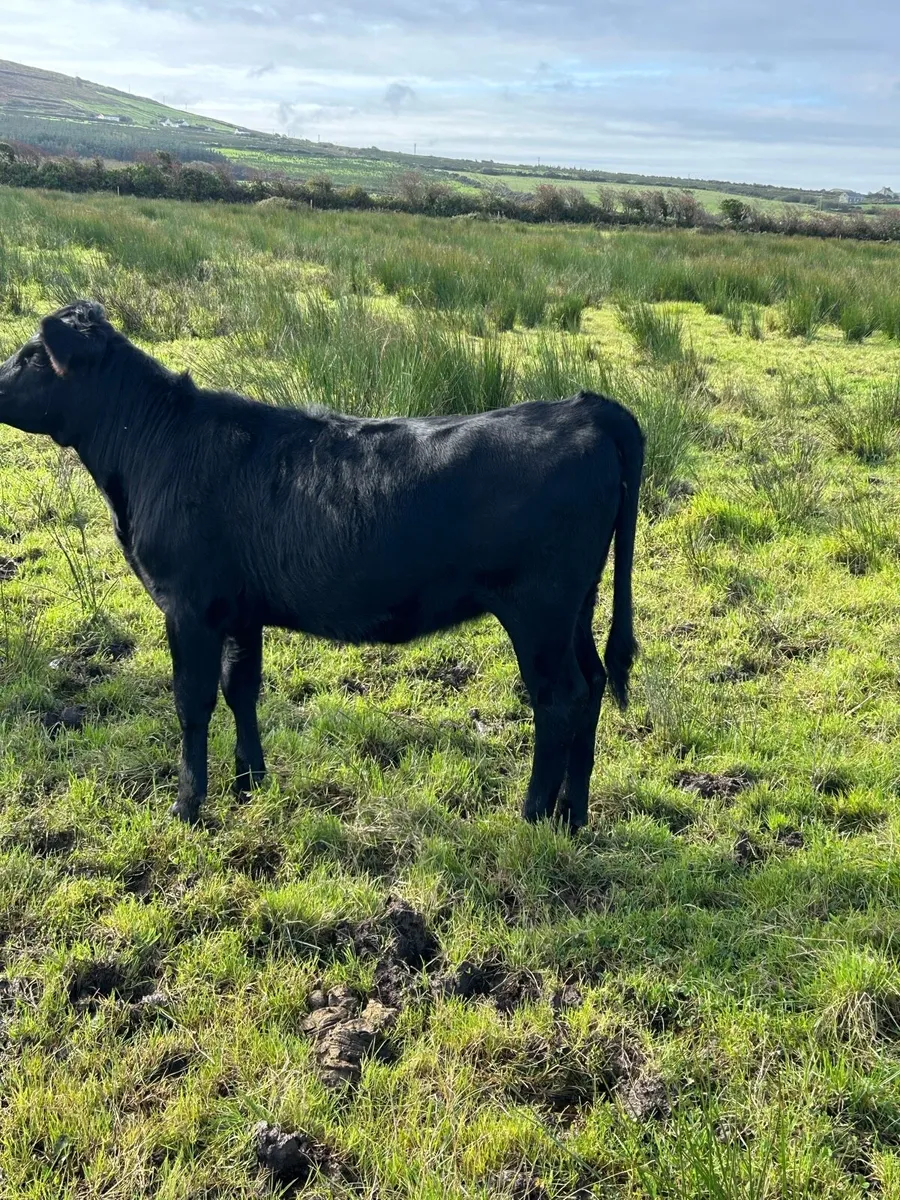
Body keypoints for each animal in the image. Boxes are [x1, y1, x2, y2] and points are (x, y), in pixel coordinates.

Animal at [0, 301, 643, 831]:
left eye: (31, 356)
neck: (151, 446)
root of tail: (584, 407)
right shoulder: (239, 609)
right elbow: (240, 687)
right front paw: (249, 783)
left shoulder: (189, 605)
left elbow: (191, 701)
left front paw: (187, 806)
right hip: (576, 605)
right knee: (591, 684)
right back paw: (572, 814)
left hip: (540, 607)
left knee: (558, 698)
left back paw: (533, 816)